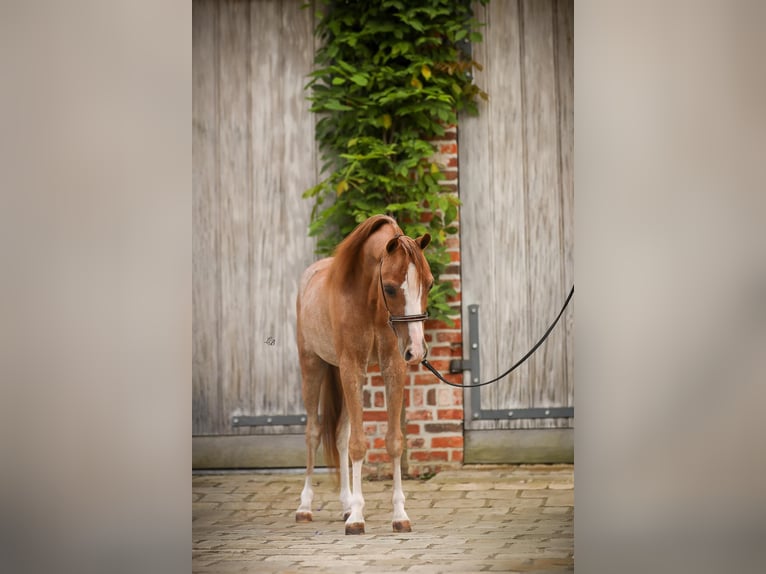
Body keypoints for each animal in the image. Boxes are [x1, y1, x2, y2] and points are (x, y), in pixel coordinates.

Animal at [296, 215, 436, 536]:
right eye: (391, 288)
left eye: (430, 283)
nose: (417, 351)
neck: (368, 299)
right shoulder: (352, 366)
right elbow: (359, 445)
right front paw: (358, 519)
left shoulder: (392, 366)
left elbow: (393, 441)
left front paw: (399, 515)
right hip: (313, 366)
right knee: (313, 433)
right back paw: (305, 506)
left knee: (339, 436)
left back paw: (346, 505)